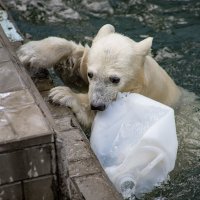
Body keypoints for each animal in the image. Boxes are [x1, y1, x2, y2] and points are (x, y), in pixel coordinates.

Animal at [17, 24, 181, 128]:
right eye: (91, 74)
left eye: (115, 79)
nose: (97, 104)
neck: (141, 81)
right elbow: (77, 63)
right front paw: (31, 52)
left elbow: (92, 118)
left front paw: (63, 94)